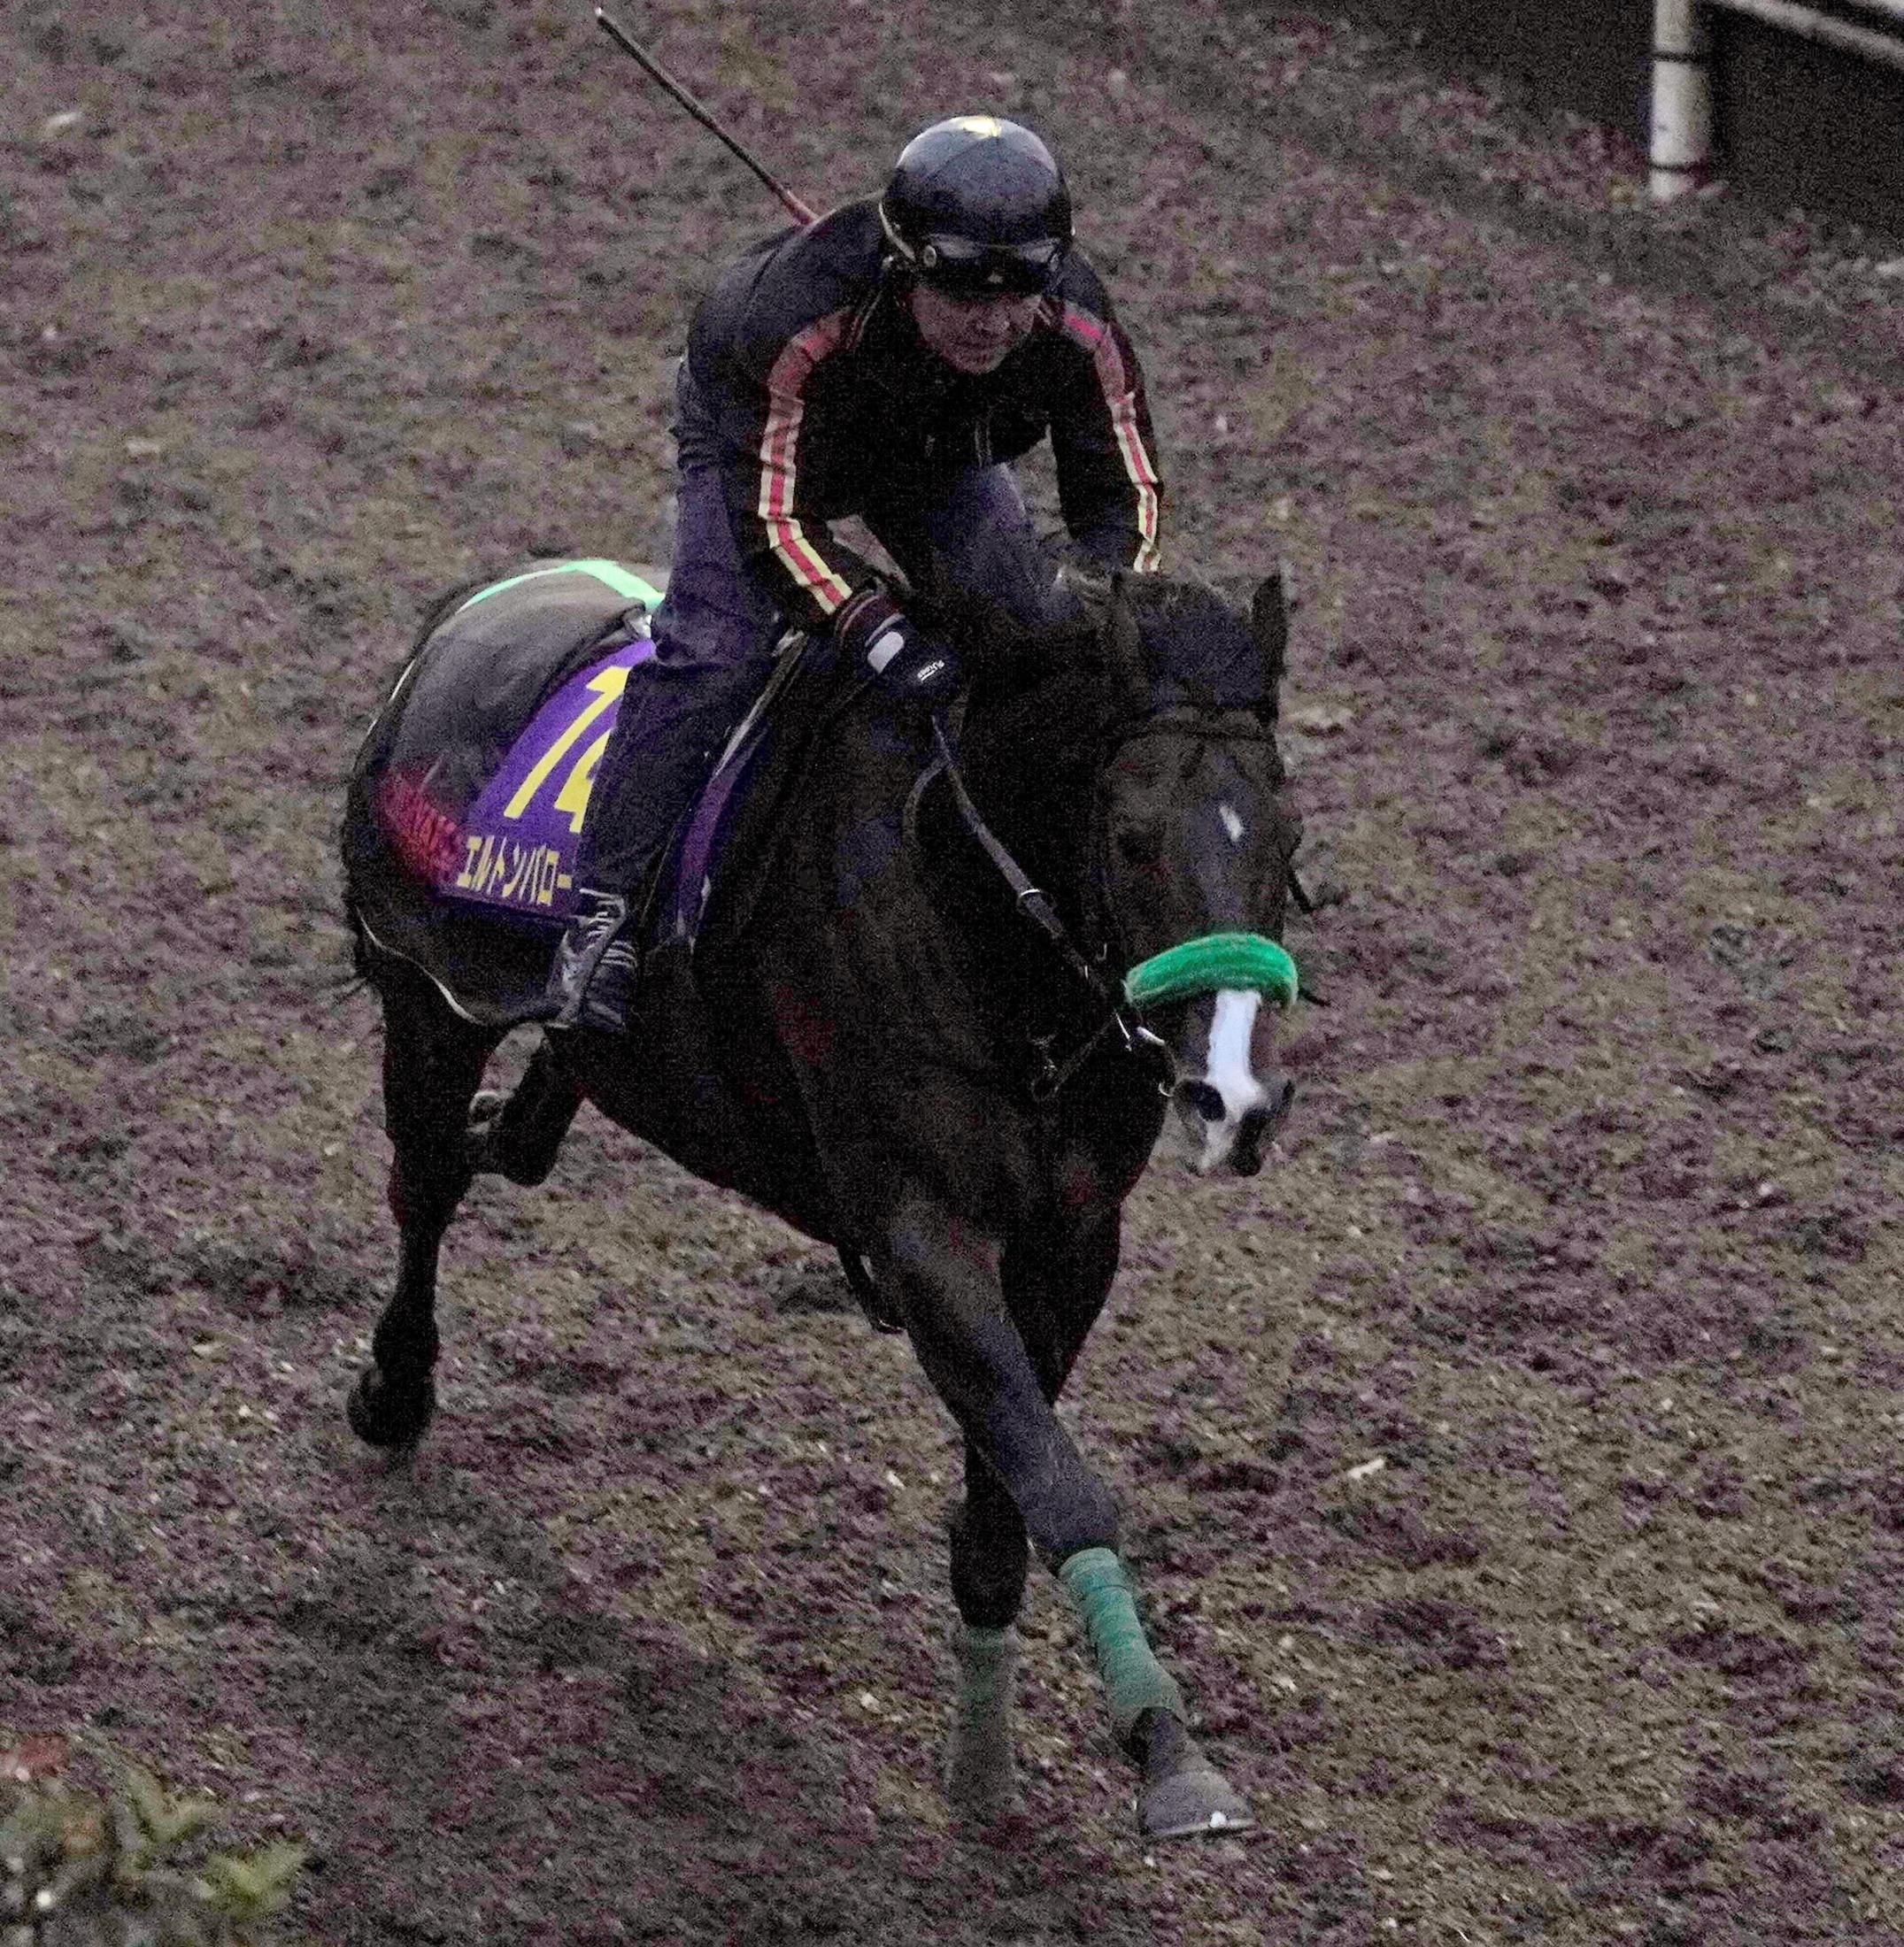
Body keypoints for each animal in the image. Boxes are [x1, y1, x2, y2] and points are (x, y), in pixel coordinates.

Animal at [338, 559, 1307, 1838]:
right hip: (425, 994)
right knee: (426, 1180)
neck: (972, 912)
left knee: (512, 1135)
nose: (1231, 1097)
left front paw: (996, 1762)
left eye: (1288, 835)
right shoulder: (919, 1233)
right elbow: (1059, 1484)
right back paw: (394, 1389)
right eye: (1132, 836)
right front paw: (1168, 1749)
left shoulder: (1069, 1247)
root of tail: (473, 614)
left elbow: (1008, 1497)